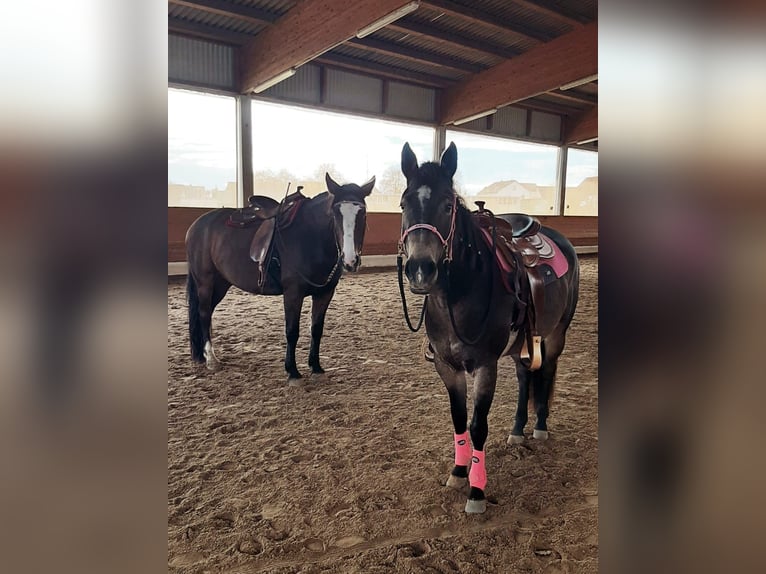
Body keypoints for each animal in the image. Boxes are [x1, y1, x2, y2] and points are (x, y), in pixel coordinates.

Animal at [185, 173, 374, 382]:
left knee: (207, 313)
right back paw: (211, 359)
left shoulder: (325, 293)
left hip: (221, 284)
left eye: (363, 214)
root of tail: (196, 226)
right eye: (335, 214)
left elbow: (316, 329)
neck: (311, 237)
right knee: (203, 313)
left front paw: (315, 366)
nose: (350, 260)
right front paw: (292, 371)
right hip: (205, 282)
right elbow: (292, 331)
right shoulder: (293, 293)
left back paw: (204, 355)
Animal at [397, 142, 579, 513]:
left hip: (555, 335)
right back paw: (518, 430)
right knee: (525, 378)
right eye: (405, 203)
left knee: (546, 372)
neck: (459, 294)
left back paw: (539, 427)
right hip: (521, 344)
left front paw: (477, 491)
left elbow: (478, 425)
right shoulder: (447, 367)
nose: (421, 269)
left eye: (447, 204)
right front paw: (457, 472)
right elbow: (458, 420)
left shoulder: (485, 366)